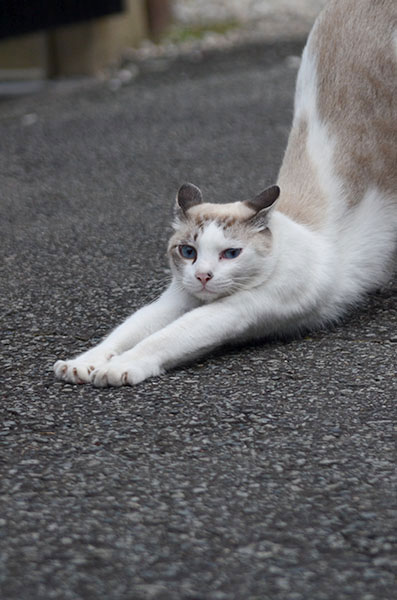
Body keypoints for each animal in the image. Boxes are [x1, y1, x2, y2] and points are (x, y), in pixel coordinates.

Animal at [53, 0, 396, 386]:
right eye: (188, 251)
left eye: (231, 253)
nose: (203, 275)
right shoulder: (176, 298)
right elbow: (127, 330)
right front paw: (84, 363)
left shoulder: (237, 309)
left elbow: (166, 337)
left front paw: (119, 367)